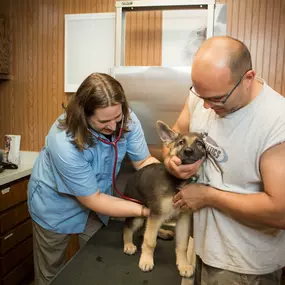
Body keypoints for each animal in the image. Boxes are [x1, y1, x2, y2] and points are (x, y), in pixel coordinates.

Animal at [121, 120, 204, 278]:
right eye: (181, 142)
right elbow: (150, 241)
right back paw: (128, 244)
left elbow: (182, 245)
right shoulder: (156, 214)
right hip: (138, 215)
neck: (177, 181)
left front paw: (183, 264)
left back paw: (163, 232)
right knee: (128, 227)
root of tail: (130, 180)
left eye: (199, 143)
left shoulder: (183, 218)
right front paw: (146, 260)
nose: (188, 151)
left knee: (146, 228)